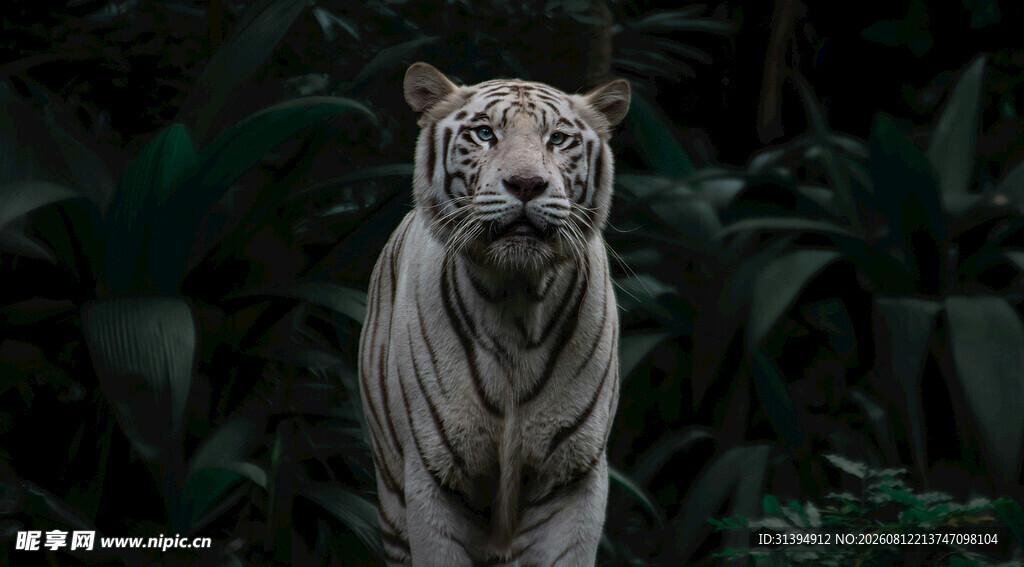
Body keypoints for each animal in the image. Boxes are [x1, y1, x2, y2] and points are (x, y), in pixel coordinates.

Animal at [358, 62, 630, 566]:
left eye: (557, 139)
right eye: (485, 134)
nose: (526, 184)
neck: (516, 302)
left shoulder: (572, 476)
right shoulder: (434, 476)